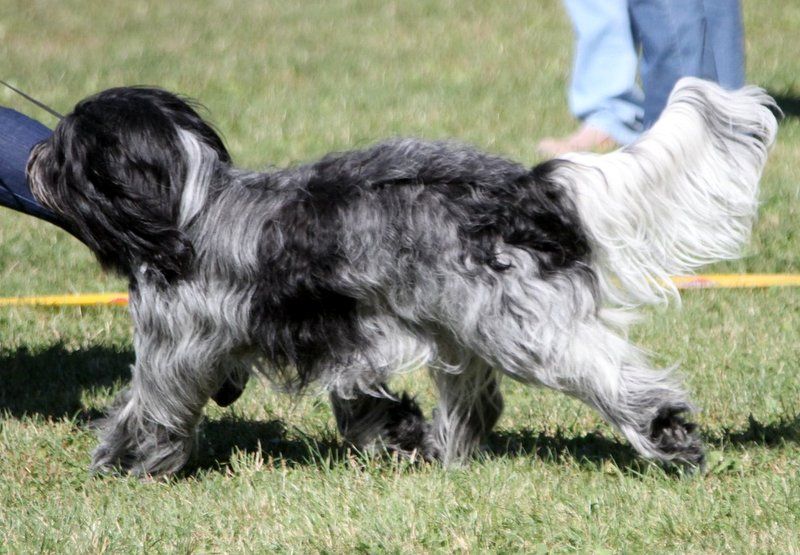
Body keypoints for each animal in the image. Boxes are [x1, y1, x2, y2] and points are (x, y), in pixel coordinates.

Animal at [27, 78, 777, 476]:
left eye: (65, 150)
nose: (32, 160)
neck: (189, 203)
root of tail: (529, 189)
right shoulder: (349, 334)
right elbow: (364, 399)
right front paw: (397, 434)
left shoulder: (176, 345)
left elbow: (149, 403)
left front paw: (123, 460)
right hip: (461, 322)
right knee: (478, 399)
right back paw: (446, 451)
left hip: (515, 324)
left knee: (606, 371)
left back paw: (665, 430)